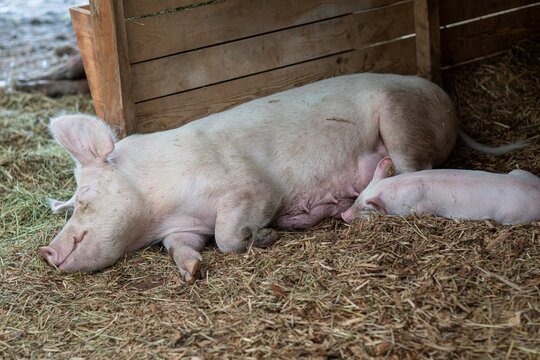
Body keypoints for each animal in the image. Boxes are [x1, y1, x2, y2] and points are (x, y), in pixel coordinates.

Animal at [342, 158, 540, 225]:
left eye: (366, 209)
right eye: (358, 197)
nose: (343, 215)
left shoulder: (419, 209)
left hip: (512, 215)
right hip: (520, 172)